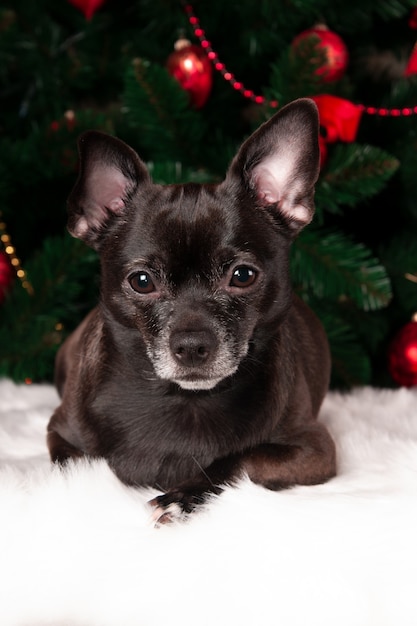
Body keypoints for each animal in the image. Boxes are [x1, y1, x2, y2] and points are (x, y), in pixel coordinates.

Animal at [47, 97, 336, 520]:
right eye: (142, 281)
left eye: (243, 275)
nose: (192, 345)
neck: (184, 400)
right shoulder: (59, 433)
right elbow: (80, 465)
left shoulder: (313, 447)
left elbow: (241, 458)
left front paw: (182, 495)